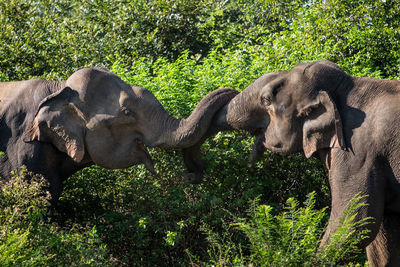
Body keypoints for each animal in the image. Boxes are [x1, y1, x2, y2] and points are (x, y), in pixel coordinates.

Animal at [200, 61, 400, 266]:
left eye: (266, 99)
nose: (195, 172)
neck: (348, 87)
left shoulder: (359, 156)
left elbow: (353, 226)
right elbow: (381, 241)